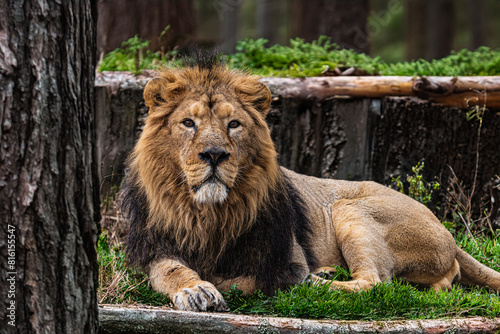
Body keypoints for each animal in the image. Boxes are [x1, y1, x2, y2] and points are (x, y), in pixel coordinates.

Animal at [122, 58, 500, 312]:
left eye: (234, 124)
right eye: (188, 123)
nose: (214, 154)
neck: (208, 213)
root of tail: (448, 234)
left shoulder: (283, 257)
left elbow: (253, 280)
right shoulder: (152, 248)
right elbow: (168, 271)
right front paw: (196, 289)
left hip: (349, 207)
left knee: (375, 283)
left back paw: (320, 281)